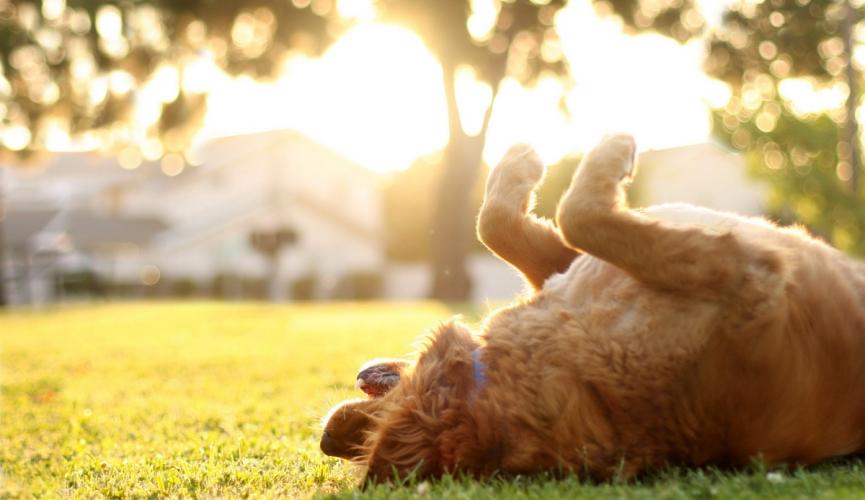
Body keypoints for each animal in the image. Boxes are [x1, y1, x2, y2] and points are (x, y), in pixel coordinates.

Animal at [318, 134, 864, 484]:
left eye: (358, 436)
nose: (326, 439)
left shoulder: (568, 268)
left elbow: (496, 224)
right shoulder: (746, 274)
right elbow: (577, 214)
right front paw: (606, 151)